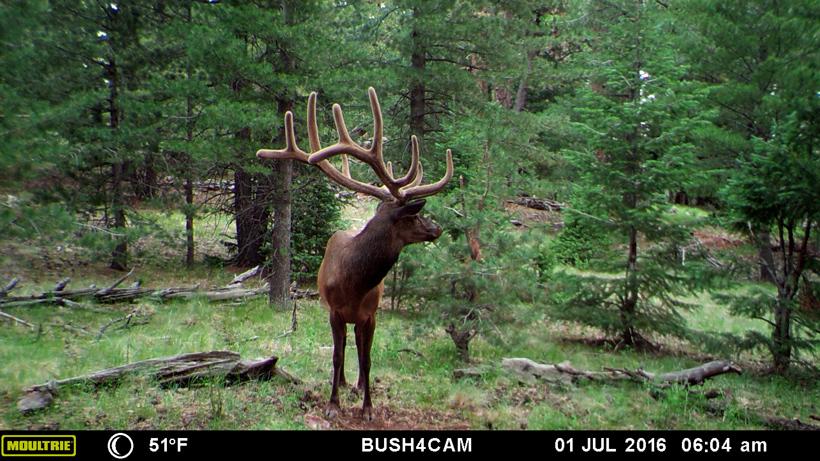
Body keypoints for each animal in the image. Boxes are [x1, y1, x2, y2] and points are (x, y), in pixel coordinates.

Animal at [256, 88, 453, 420]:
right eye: (413, 216)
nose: (436, 228)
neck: (354, 283)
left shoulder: (370, 314)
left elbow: (368, 357)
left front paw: (368, 408)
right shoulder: (334, 311)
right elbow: (337, 356)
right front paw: (333, 404)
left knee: (360, 347)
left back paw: (358, 384)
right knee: (346, 345)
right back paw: (344, 382)